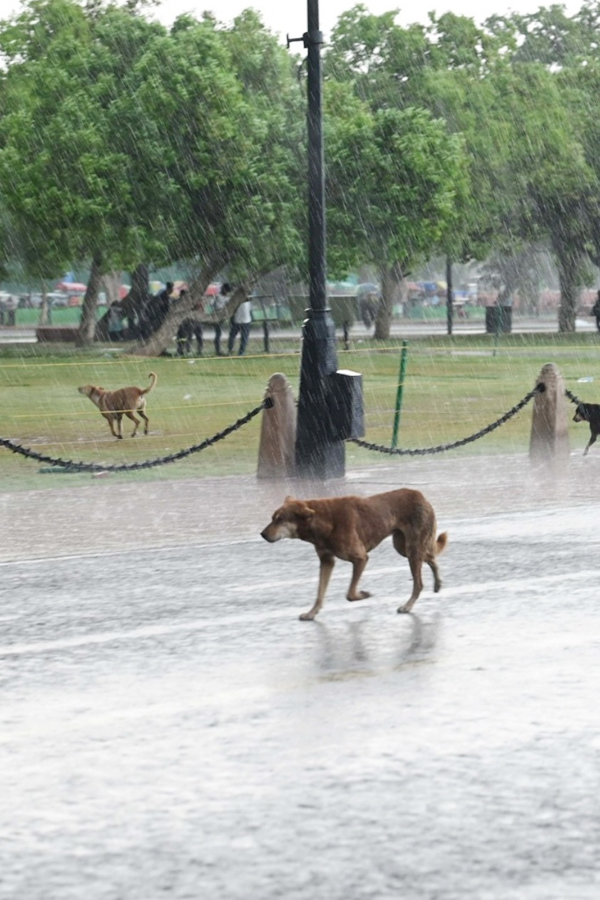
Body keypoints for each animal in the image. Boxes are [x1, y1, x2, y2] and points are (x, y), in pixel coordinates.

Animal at [260, 488, 448, 624]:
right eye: (272, 518)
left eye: (280, 519)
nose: (262, 534)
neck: (323, 520)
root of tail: (420, 495)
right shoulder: (327, 561)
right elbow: (320, 592)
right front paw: (312, 612)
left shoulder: (361, 558)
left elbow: (350, 594)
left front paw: (363, 594)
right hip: (403, 547)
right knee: (431, 558)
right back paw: (438, 582)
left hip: (412, 548)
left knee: (419, 583)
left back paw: (408, 606)